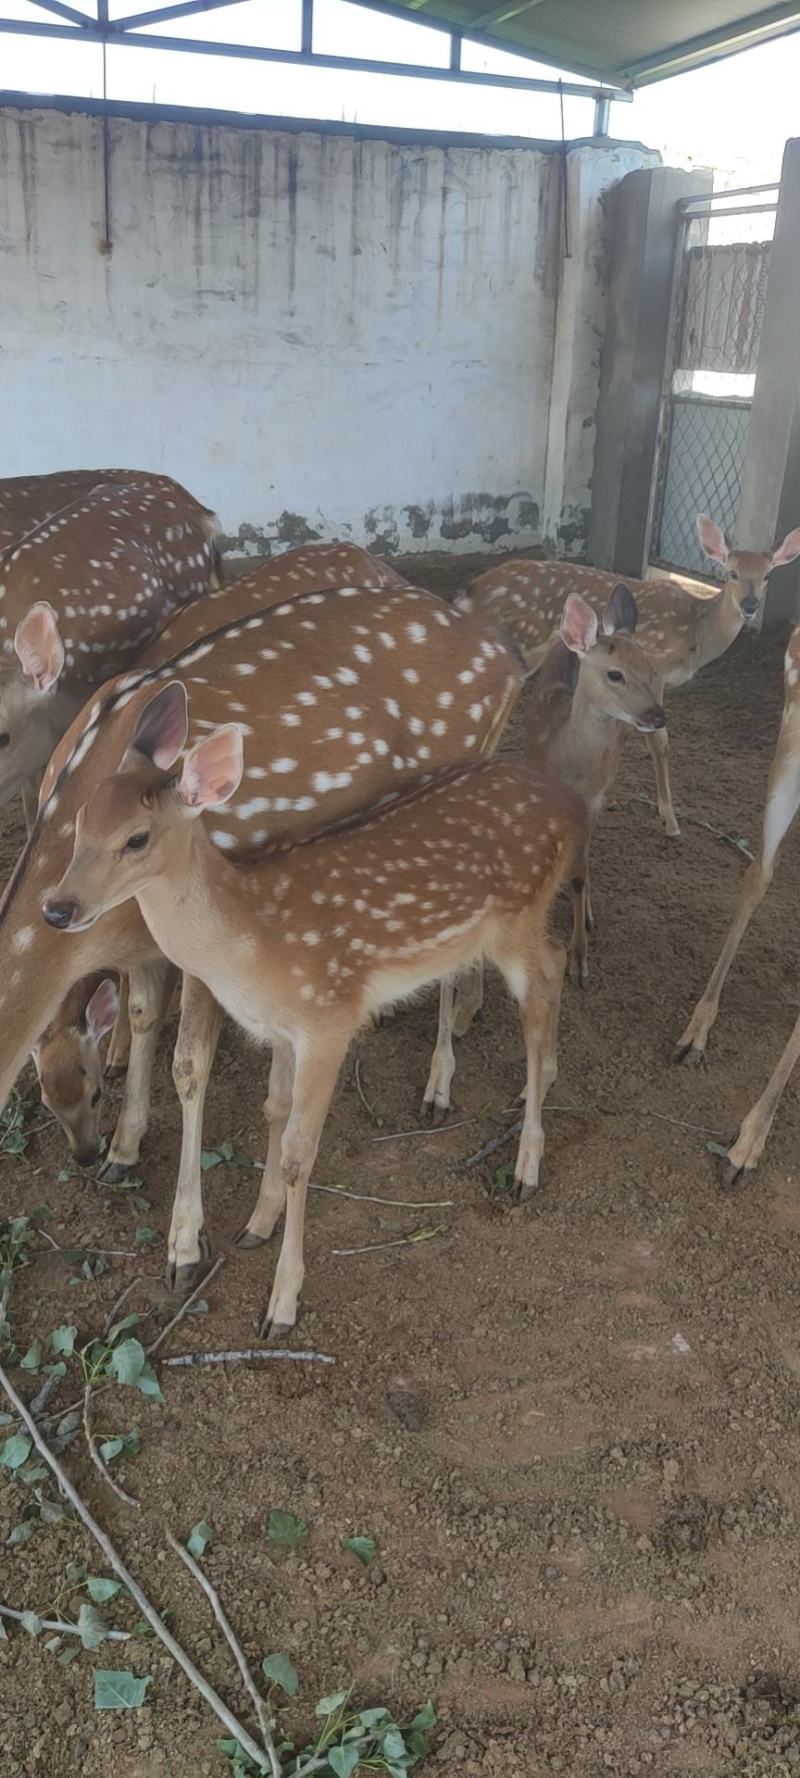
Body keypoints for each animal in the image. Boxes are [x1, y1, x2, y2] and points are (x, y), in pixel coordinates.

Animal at [0, 579, 522, 1287]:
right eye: (52, 1103)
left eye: (89, 1088)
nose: (81, 1155)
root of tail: (503, 651)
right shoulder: (145, 944)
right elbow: (141, 1018)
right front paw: (125, 1150)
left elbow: (189, 1066)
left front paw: (185, 1246)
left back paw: (439, 1085)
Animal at [43, 681, 584, 1336]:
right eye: (78, 821)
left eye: (137, 838)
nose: (58, 908)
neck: (254, 942)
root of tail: (570, 804)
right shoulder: (281, 1028)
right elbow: (273, 1110)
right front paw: (256, 1222)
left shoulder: (329, 1016)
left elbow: (302, 1153)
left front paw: (281, 1304)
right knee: (552, 963)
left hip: (518, 917)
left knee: (545, 978)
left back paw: (527, 1163)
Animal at [423, 585, 666, 1110]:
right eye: (615, 674)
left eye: (653, 668)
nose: (656, 715)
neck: (569, 764)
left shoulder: (591, 804)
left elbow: (577, 877)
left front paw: (580, 962)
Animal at [456, 516, 800, 840]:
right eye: (732, 573)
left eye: (767, 575)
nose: (750, 606)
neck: (696, 637)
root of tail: (470, 592)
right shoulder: (658, 667)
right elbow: (658, 741)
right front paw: (670, 821)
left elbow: (626, 730)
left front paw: (610, 796)